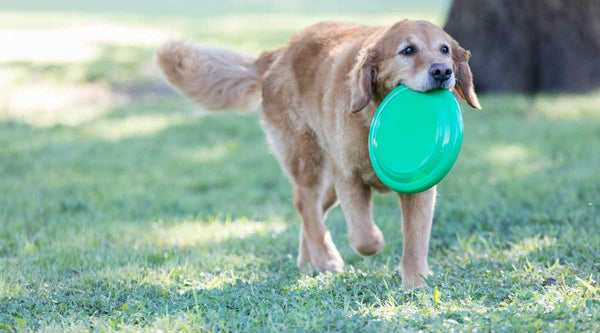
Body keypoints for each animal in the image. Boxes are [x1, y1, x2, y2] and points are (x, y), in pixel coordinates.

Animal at [157, 19, 480, 286]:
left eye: (444, 49)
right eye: (408, 50)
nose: (442, 71)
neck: (371, 115)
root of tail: (279, 52)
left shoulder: (419, 188)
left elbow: (415, 239)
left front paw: (416, 283)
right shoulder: (349, 178)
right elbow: (364, 238)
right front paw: (375, 241)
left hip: (328, 180)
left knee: (312, 211)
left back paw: (309, 258)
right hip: (309, 160)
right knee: (305, 203)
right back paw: (326, 258)